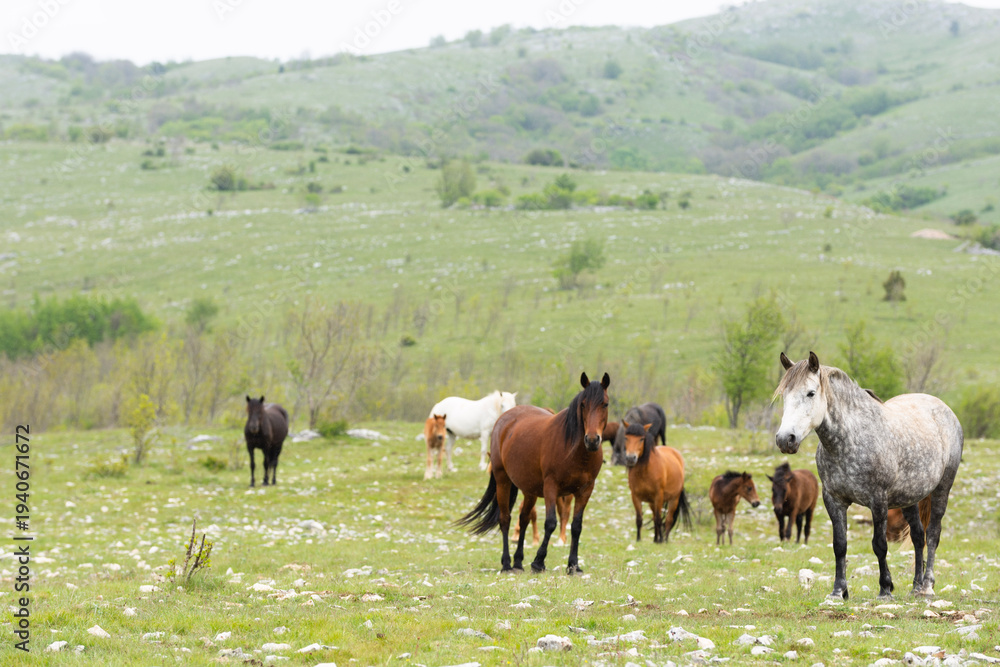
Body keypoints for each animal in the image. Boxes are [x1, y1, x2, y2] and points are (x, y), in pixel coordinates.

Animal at [457, 372, 610, 574]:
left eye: (605, 404)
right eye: (583, 404)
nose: (592, 440)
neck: (576, 451)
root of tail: (505, 418)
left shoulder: (585, 490)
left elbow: (576, 526)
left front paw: (573, 566)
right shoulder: (551, 487)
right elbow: (550, 523)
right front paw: (538, 562)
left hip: (529, 490)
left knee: (524, 519)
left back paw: (518, 562)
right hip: (503, 481)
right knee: (505, 519)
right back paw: (507, 564)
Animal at [775, 351, 963, 600]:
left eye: (811, 393)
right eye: (784, 394)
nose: (785, 439)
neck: (850, 440)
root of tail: (945, 410)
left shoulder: (878, 501)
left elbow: (879, 545)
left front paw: (885, 588)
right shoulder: (834, 500)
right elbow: (840, 545)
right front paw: (838, 591)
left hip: (942, 488)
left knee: (932, 534)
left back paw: (927, 586)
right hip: (909, 498)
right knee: (917, 536)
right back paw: (915, 586)